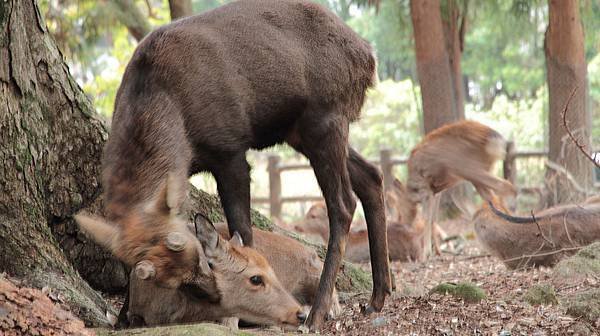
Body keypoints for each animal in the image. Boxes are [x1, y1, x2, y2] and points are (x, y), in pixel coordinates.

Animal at [72, 0, 392, 326]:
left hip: (326, 116)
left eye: (202, 265)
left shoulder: (229, 150)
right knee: (372, 175)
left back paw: (318, 312)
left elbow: (243, 230)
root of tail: (369, 56)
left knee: (343, 203)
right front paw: (123, 315)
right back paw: (377, 297)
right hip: (300, 131)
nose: (214, 302)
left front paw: (238, 315)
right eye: (177, 283)